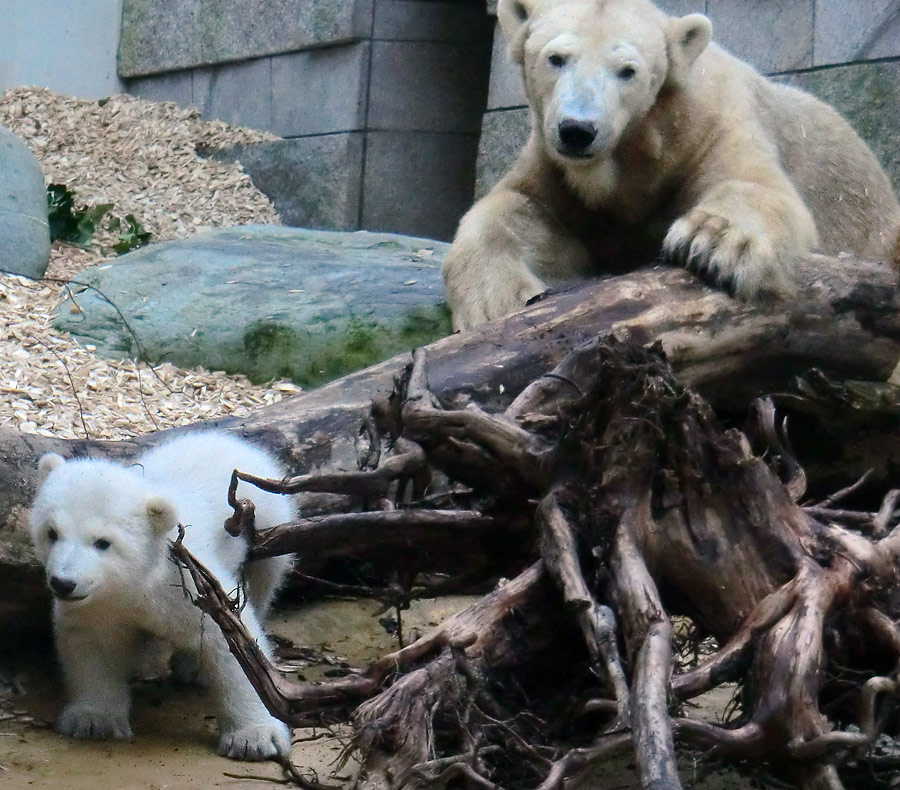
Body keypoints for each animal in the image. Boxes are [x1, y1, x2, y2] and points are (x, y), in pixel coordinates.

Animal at [28, 434, 294, 760]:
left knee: (263, 580)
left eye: (103, 542)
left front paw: (254, 738)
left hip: (265, 516)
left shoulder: (188, 582)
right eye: (52, 533)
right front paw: (93, 720)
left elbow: (232, 643)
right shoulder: (100, 603)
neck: (139, 580)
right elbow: (94, 643)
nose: (63, 583)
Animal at [442, 0, 900, 332]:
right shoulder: (556, 168)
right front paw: (497, 301)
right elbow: (520, 207)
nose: (577, 130)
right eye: (556, 57)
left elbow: (758, 185)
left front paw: (712, 242)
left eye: (627, 70)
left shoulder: (711, 127)